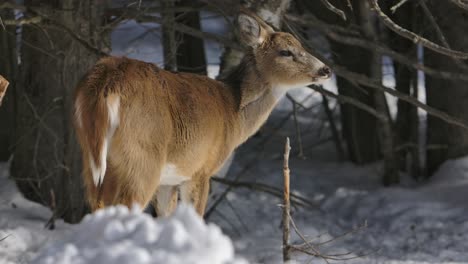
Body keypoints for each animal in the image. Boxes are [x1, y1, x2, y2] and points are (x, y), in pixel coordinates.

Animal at [73, 9, 330, 217]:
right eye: (286, 52)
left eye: (302, 46)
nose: (325, 69)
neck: (233, 112)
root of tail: (106, 82)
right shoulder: (202, 168)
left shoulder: (169, 180)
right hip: (142, 157)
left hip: (91, 157)